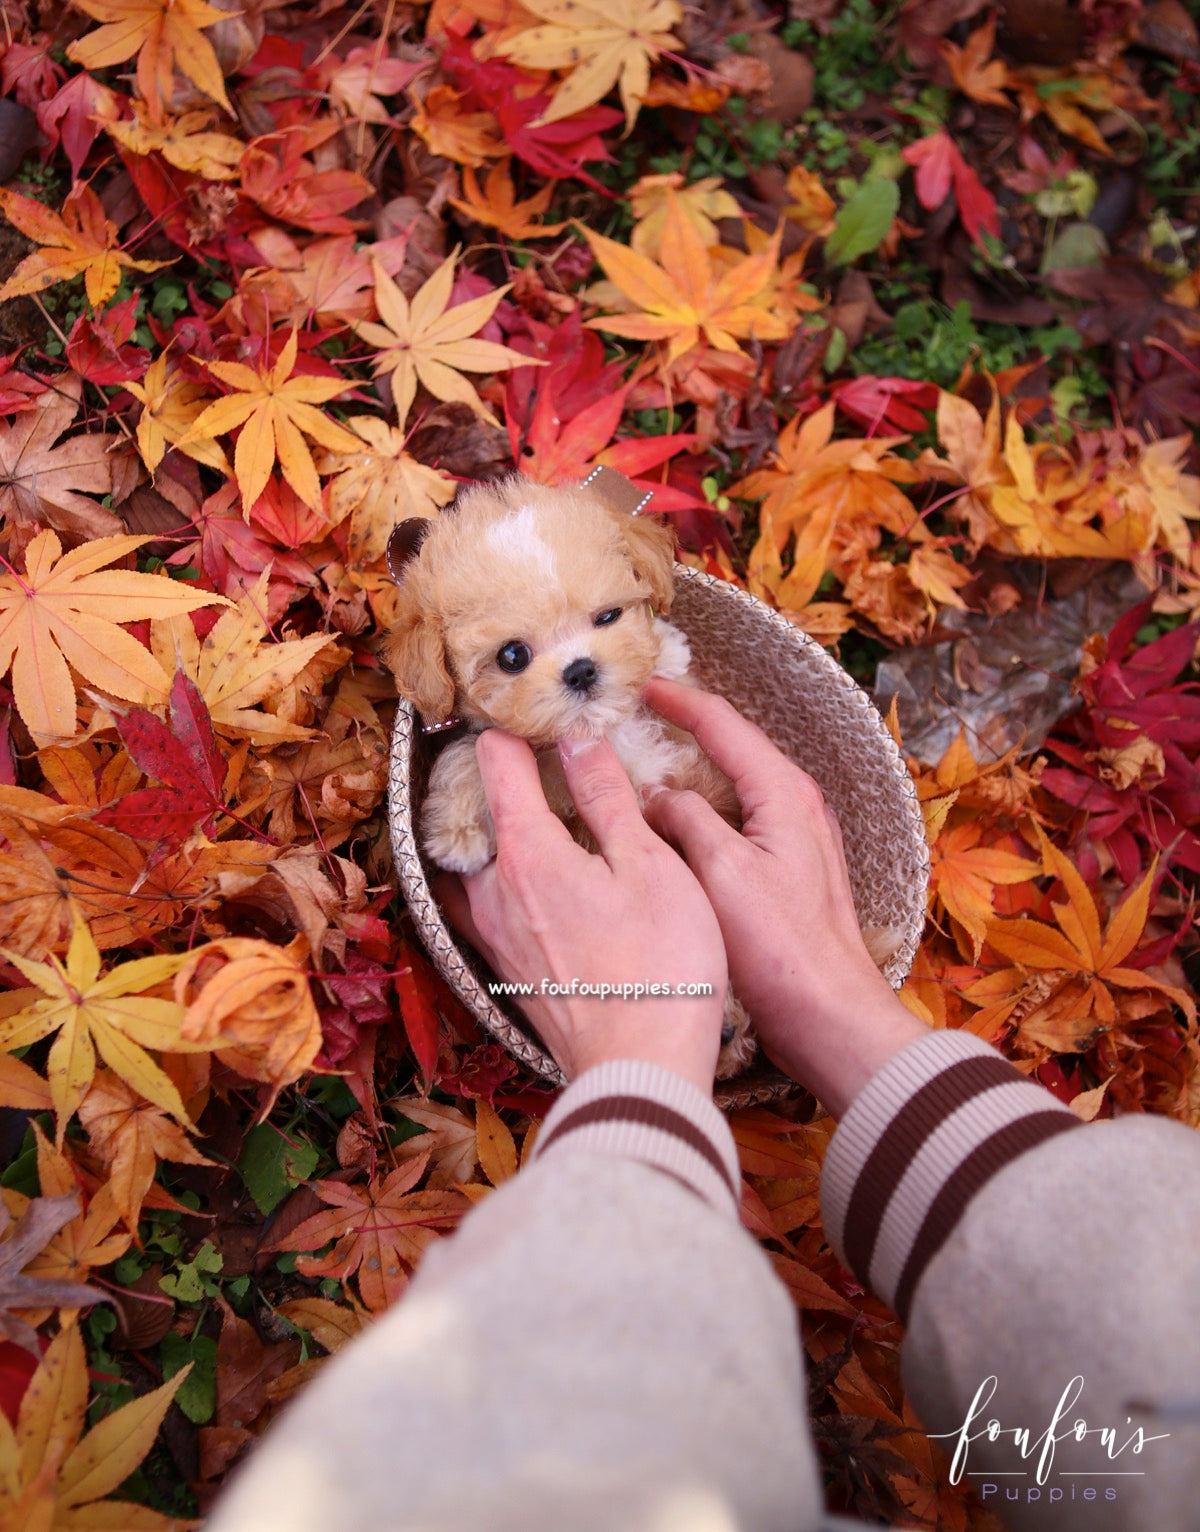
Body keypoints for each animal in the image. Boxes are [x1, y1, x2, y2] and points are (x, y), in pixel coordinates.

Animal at [384, 465, 757, 1078]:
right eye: (512, 656)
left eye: (607, 617)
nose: (582, 669)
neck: (602, 733)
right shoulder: (492, 742)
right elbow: (470, 751)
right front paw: (460, 832)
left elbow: (669, 670)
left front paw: (667, 651)